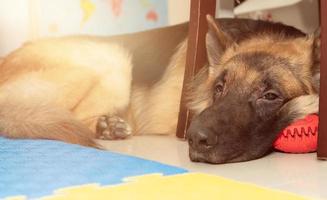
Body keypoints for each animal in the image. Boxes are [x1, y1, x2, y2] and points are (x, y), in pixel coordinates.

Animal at [0, 14, 320, 163]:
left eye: (270, 96)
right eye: (219, 88)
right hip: (114, 57)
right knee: (67, 116)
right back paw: (106, 127)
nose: (194, 138)